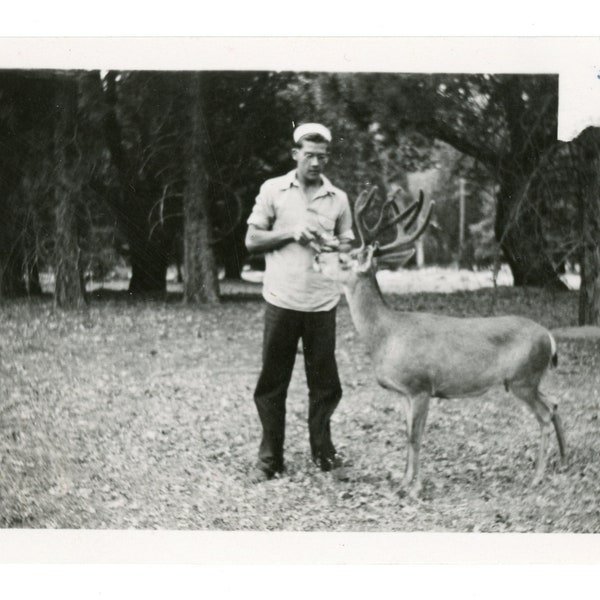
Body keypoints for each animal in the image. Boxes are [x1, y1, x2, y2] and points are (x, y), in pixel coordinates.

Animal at [314, 188, 568, 496]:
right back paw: (563, 462)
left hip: (523, 378)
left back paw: (537, 477)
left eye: (344, 259)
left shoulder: (421, 386)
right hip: (530, 380)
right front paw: (403, 482)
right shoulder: (403, 393)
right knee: (554, 403)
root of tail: (549, 338)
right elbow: (406, 435)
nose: (317, 257)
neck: (386, 334)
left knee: (545, 414)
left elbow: (416, 437)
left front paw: (415, 488)